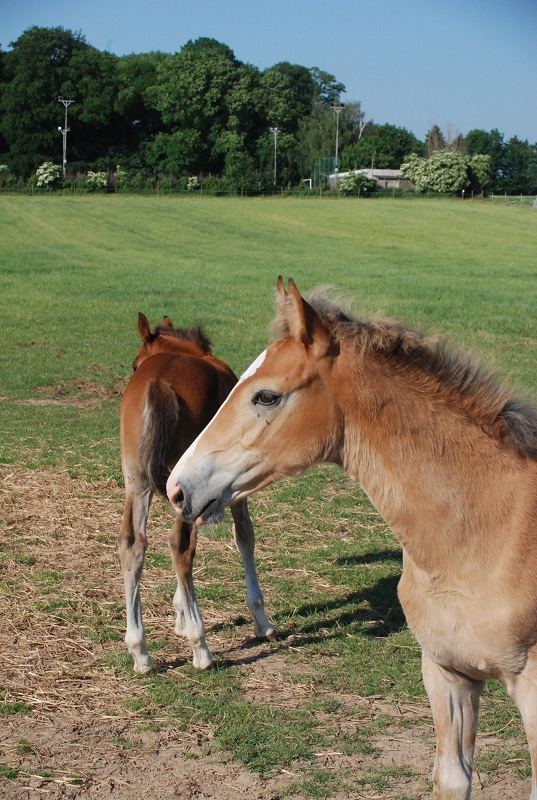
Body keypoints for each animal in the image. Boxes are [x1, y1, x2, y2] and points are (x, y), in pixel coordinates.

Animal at [120, 316, 274, 672]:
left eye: (134, 363)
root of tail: (159, 382)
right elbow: (245, 536)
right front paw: (260, 619)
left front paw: (179, 614)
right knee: (180, 544)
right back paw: (200, 647)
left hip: (138, 481)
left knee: (133, 544)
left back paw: (140, 651)